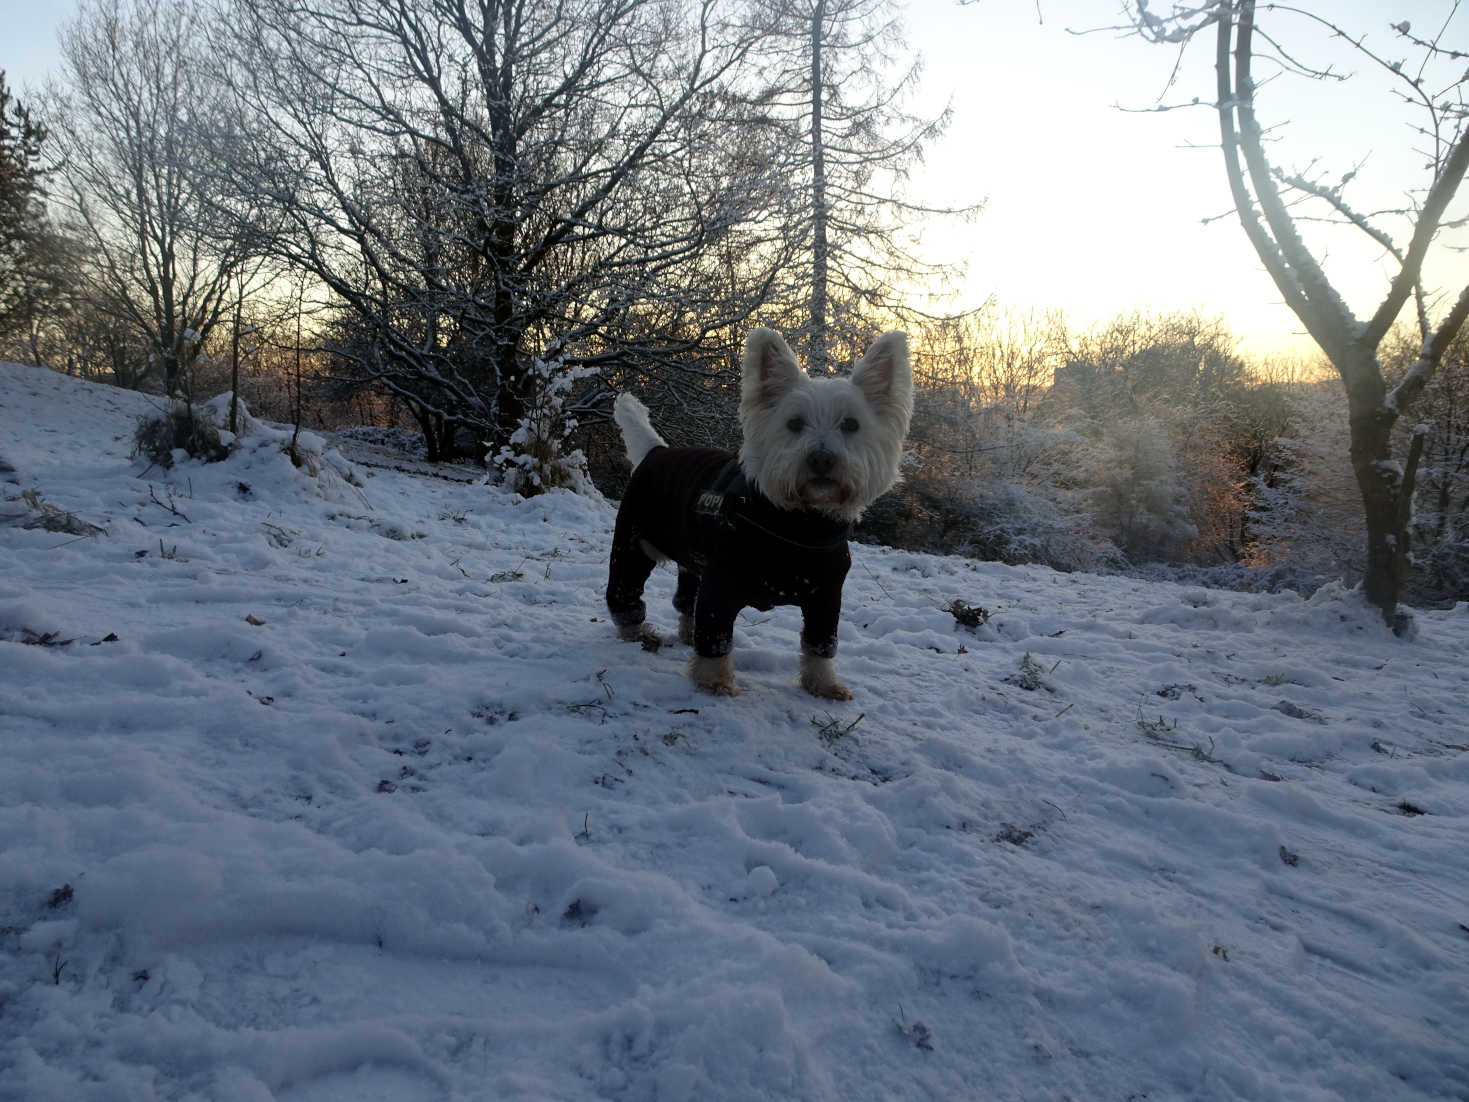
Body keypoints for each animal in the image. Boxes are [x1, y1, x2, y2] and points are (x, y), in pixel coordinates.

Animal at [605, 326, 904, 699]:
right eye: (794, 423)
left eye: (851, 424)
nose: (821, 459)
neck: (799, 525)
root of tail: (656, 451)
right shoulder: (722, 580)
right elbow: (716, 633)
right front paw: (714, 680)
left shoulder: (826, 596)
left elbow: (820, 644)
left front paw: (824, 685)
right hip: (633, 542)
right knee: (625, 589)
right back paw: (638, 632)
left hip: (691, 558)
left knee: (687, 600)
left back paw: (685, 633)